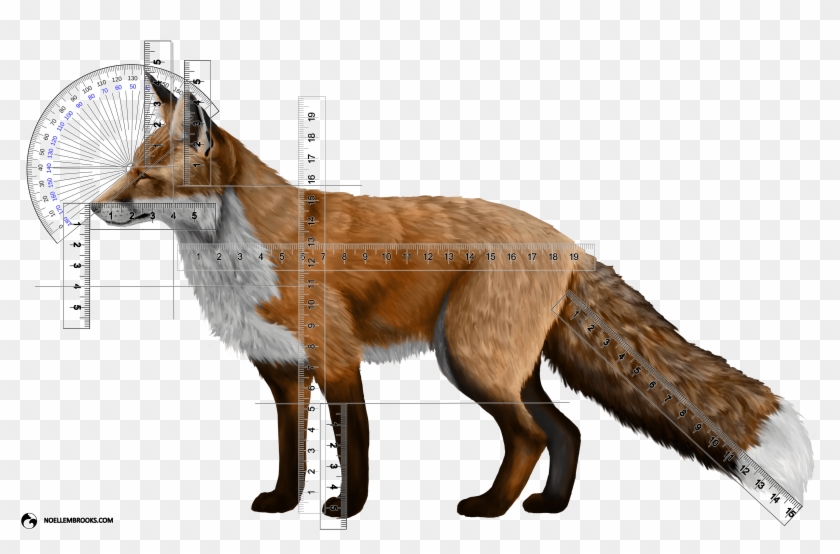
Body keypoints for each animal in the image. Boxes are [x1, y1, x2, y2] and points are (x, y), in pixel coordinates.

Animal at [92, 77, 814, 519]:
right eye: (129, 168)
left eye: (146, 176)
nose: (95, 208)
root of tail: (565, 241)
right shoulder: (282, 369)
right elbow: (291, 451)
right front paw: (283, 504)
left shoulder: (336, 359)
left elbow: (354, 447)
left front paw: (347, 512)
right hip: (502, 366)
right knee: (567, 431)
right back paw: (548, 508)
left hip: (470, 360)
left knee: (532, 436)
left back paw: (490, 509)